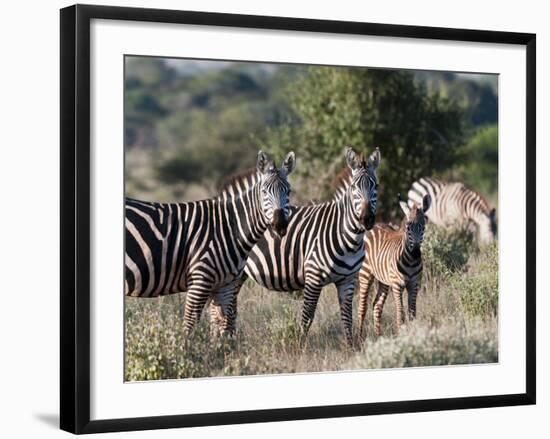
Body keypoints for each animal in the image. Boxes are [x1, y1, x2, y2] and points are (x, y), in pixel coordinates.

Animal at [125, 150, 298, 336]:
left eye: (289, 191)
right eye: (264, 192)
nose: (280, 224)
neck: (228, 227)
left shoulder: (225, 285)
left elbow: (223, 327)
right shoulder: (200, 280)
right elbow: (189, 326)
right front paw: (185, 345)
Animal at [218, 148, 382, 348]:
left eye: (376, 186)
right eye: (354, 188)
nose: (366, 219)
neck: (349, 239)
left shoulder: (348, 280)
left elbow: (347, 316)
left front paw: (351, 348)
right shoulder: (313, 277)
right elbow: (307, 316)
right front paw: (300, 347)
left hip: (239, 274)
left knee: (230, 306)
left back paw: (229, 340)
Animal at [358, 194, 436, 338]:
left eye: (423, 227)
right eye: (408, 227)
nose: (416, 253)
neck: (410, 261)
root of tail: (375, 225)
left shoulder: (414, 284)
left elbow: (412, 313)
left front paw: (413, 334)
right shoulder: (397, 284)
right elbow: (401, 314)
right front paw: (402, 336)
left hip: (384, 280)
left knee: (377, 305)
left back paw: (378, 336)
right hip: (365, 274)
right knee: (362, 307)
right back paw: (359, 339)